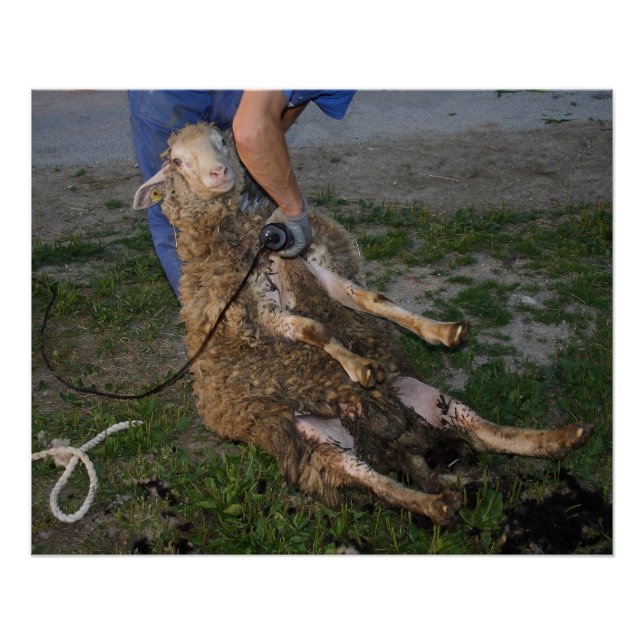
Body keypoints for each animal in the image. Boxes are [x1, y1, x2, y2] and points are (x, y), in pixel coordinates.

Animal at [133, 122, 593, 525]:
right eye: (177, 160)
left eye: (222, 141)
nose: (220, 172)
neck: (250, 241)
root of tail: (391, 441)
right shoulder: (257, 312)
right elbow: (312, 329)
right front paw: (359, 366)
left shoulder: (313, 269)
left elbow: (371, 301)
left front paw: (441, 331)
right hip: (316, 446)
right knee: (375, 482)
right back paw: (435, 503)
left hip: (423, 396)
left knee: (480, 431)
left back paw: (561, 438)